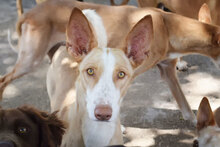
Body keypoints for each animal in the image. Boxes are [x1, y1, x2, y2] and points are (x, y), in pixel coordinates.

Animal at [2, 0, 220, 123]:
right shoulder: (128, 74)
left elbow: (186, 107)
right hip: (30, 59)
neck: (166, 26)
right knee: (3, 80)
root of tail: (30, 12)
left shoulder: (168, 73)